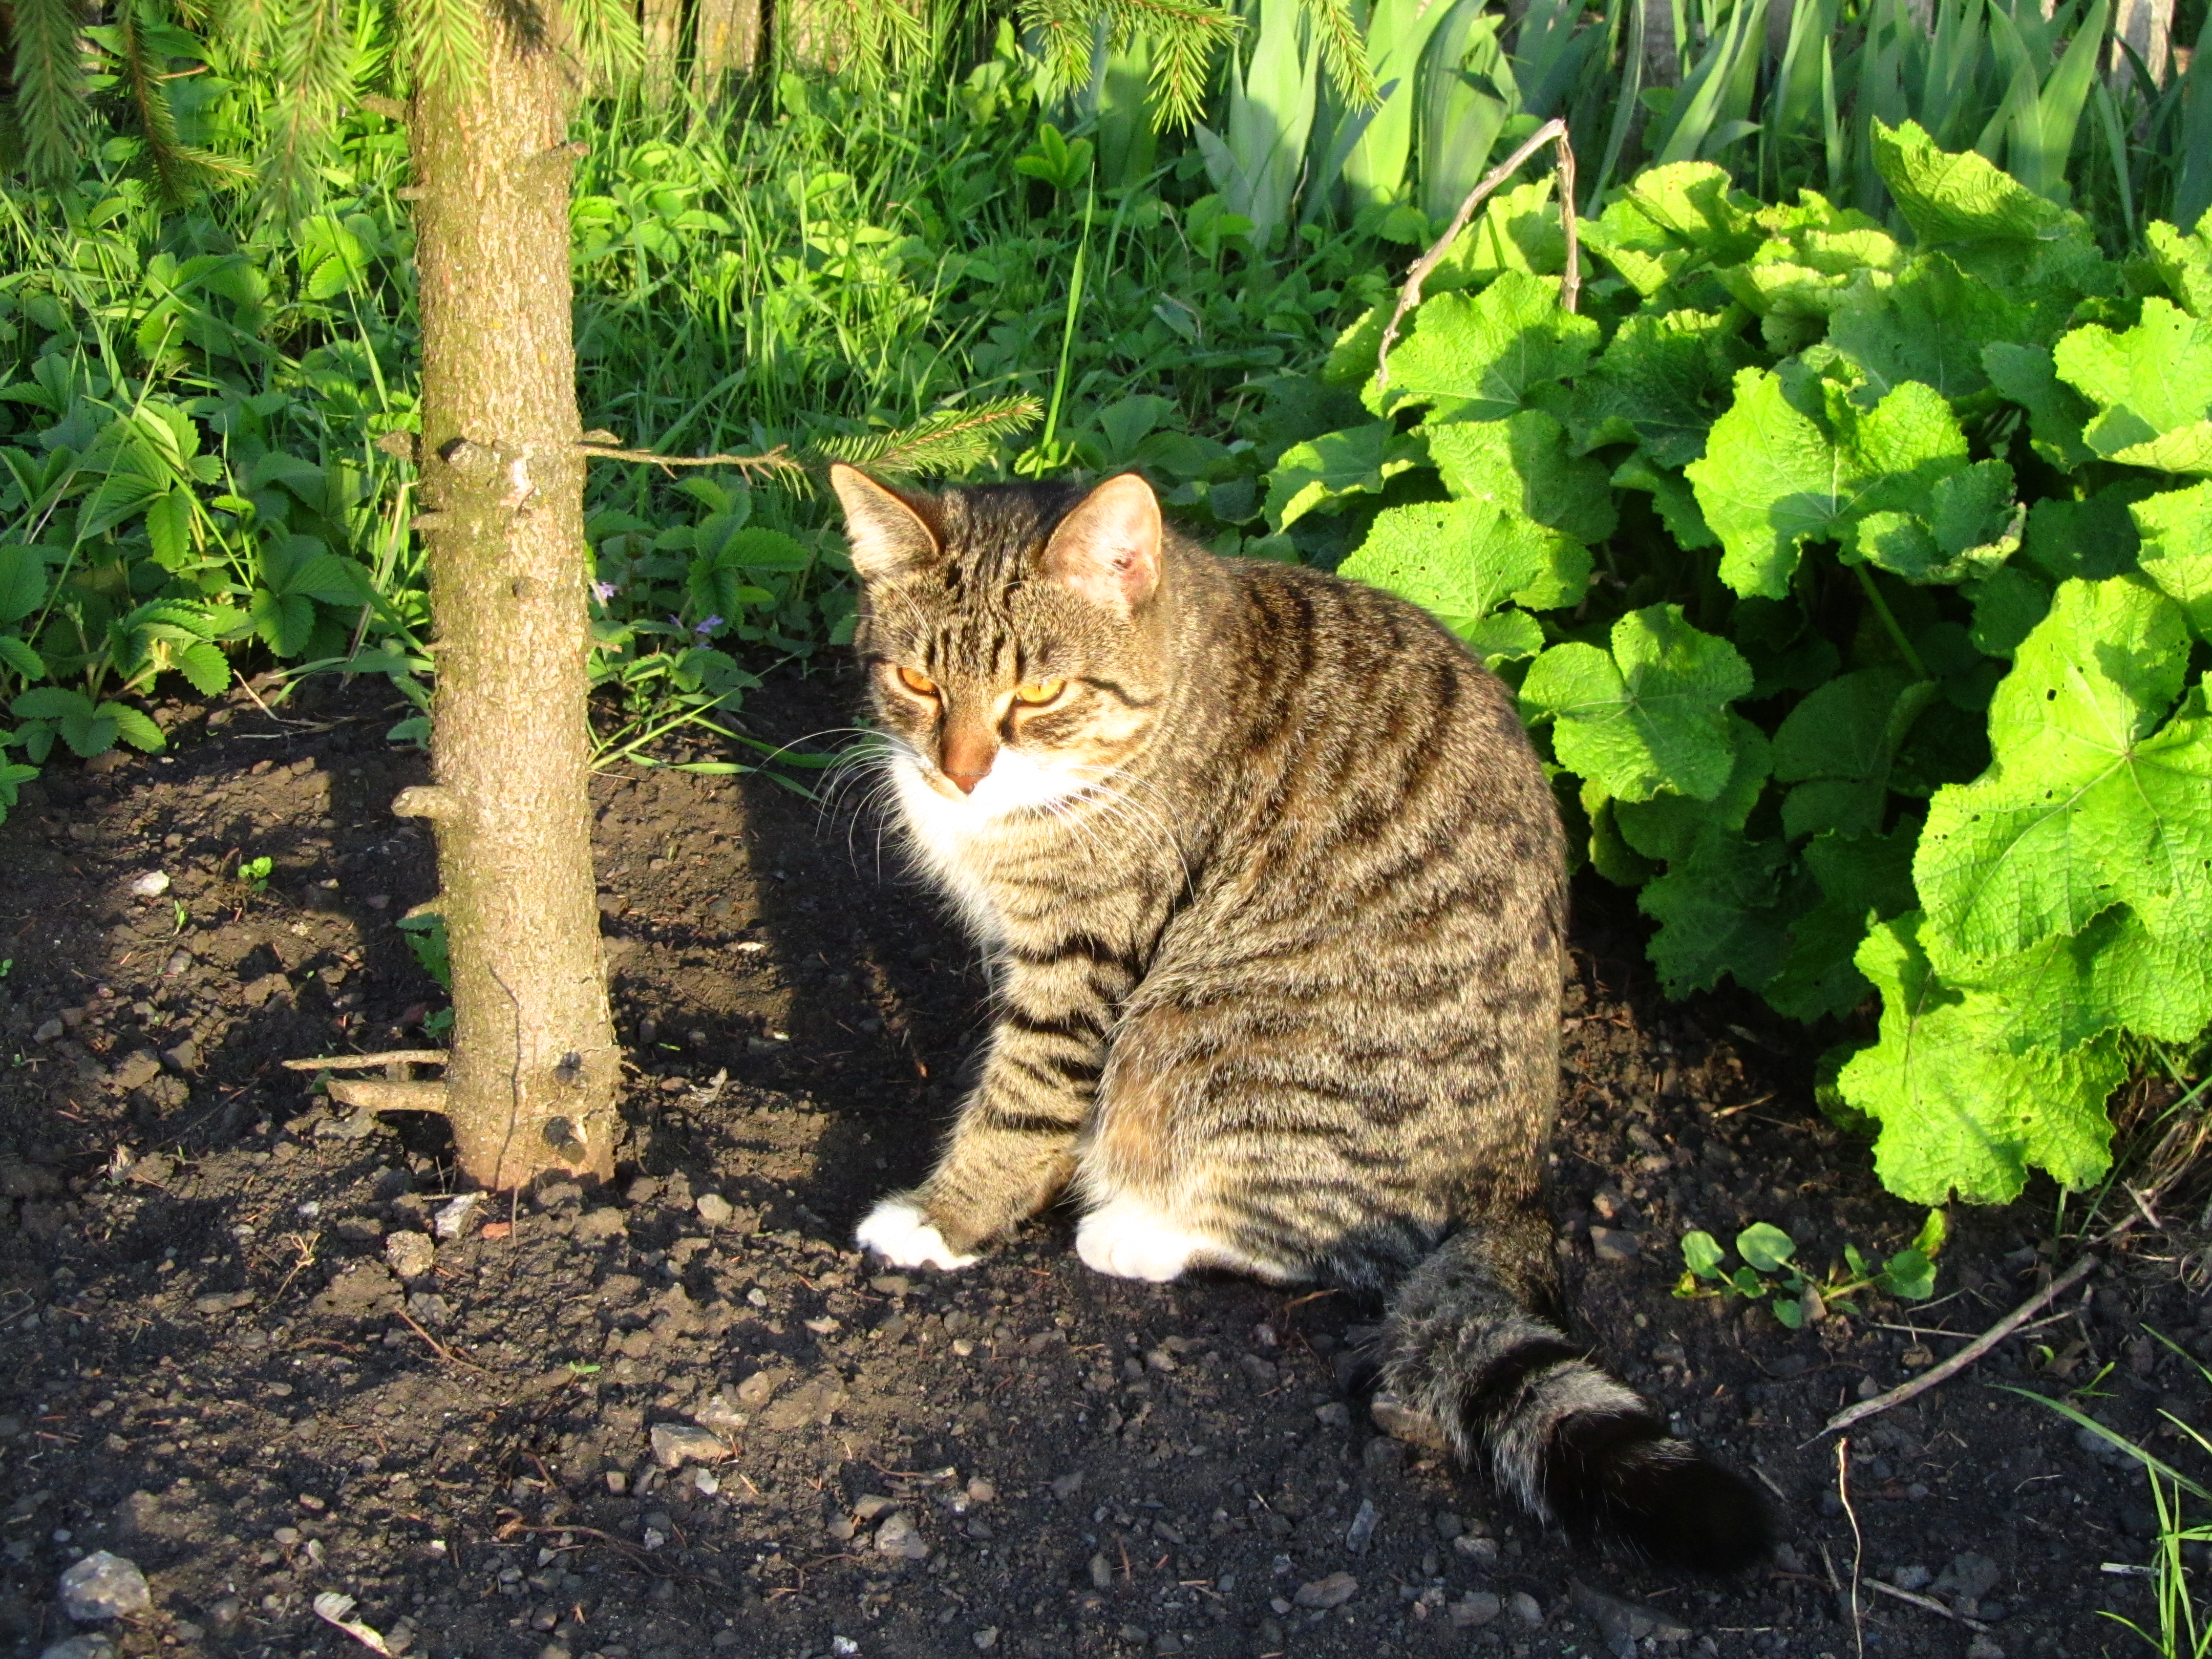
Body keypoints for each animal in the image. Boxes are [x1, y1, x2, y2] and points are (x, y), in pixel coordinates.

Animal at [832, 464, 1778, 1575]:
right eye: (919, 682)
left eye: (1039, 693)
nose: (961, 770)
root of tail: (1517, 1180)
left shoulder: (1085, 958)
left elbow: (1023, 1102)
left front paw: (947, 1217)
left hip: (1195, 1038)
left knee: (1316, 1235)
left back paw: (1138, 1232)